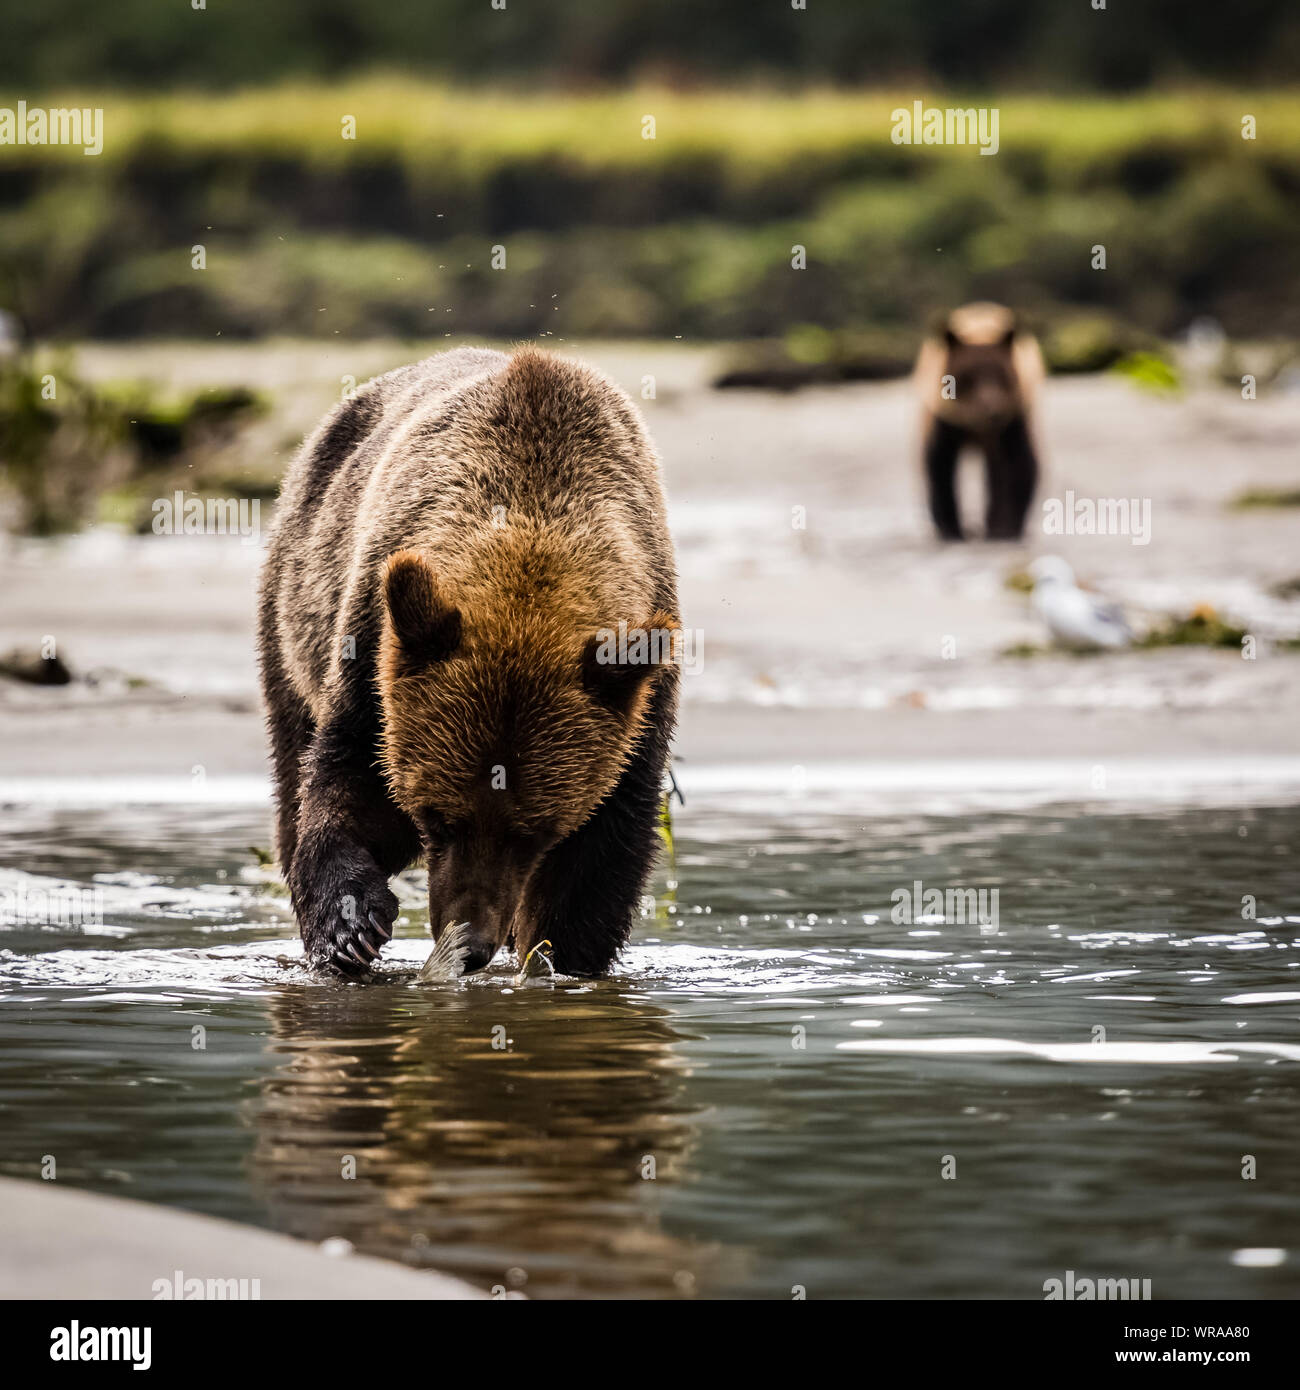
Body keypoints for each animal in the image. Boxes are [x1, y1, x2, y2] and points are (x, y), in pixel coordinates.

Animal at [254, 347, 681, 978]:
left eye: (534, 832)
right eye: (438, 816)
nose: (472, 942)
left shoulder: (640, 703)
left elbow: (601, 855)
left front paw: (557, 957)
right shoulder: (375, 646)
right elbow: (348, 784)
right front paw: (349, 926)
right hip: (294, 605)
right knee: (291, 766)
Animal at [917, 301, 1045, 539]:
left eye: (1002, 374)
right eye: (969, 375)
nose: (991, 410)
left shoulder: (1013, 414)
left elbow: (1018, 461)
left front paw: (1005, 527)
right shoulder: (945, 417)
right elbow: (941, 462)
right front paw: (951, 529)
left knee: (998, 468)